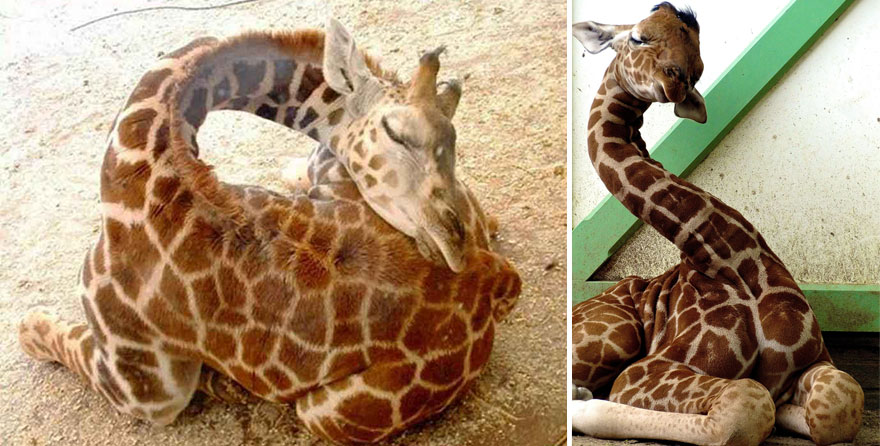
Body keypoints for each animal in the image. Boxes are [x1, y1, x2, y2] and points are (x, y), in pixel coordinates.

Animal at [17, 19, 521, 445]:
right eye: (395, 132)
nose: (453, 243)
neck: (145, 160)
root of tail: (496, 281)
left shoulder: (142, 382)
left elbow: (51, 334)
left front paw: (25, 324)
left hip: (322, 414)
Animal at [570, 4, 863, 446]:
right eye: (638, 36)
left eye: (698, 68)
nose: (673, 81)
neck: (726, 256)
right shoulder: (639, 373)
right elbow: (745, 407)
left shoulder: (812, 362)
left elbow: (839, 402)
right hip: (616, 334)